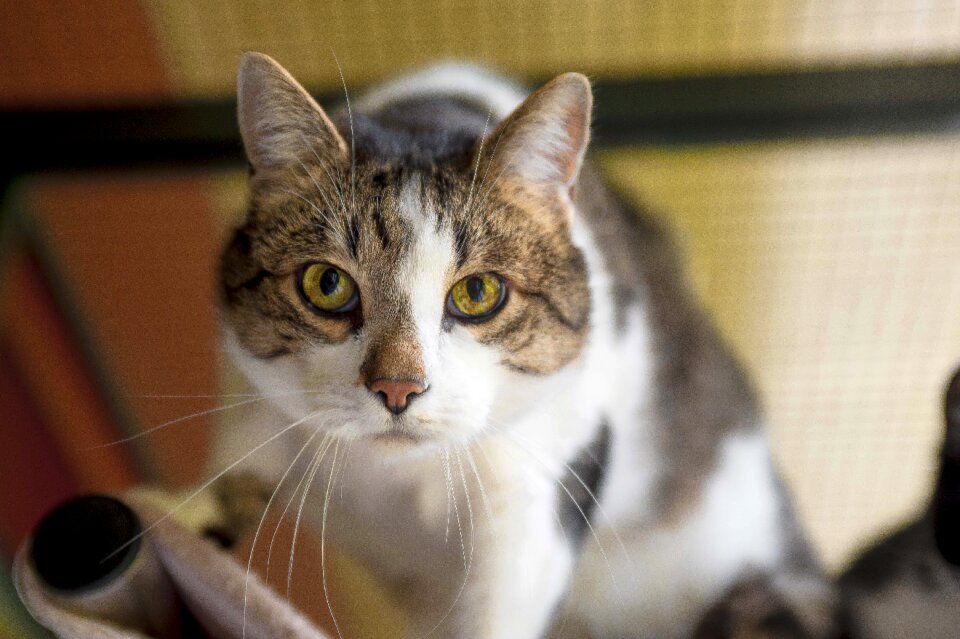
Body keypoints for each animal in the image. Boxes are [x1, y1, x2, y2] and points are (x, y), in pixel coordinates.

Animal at [206, 53, 836, 639]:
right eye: (327, 284)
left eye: (478, 292)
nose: (398, 386)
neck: (400, 481)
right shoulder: (250, 420)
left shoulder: (544, 478)